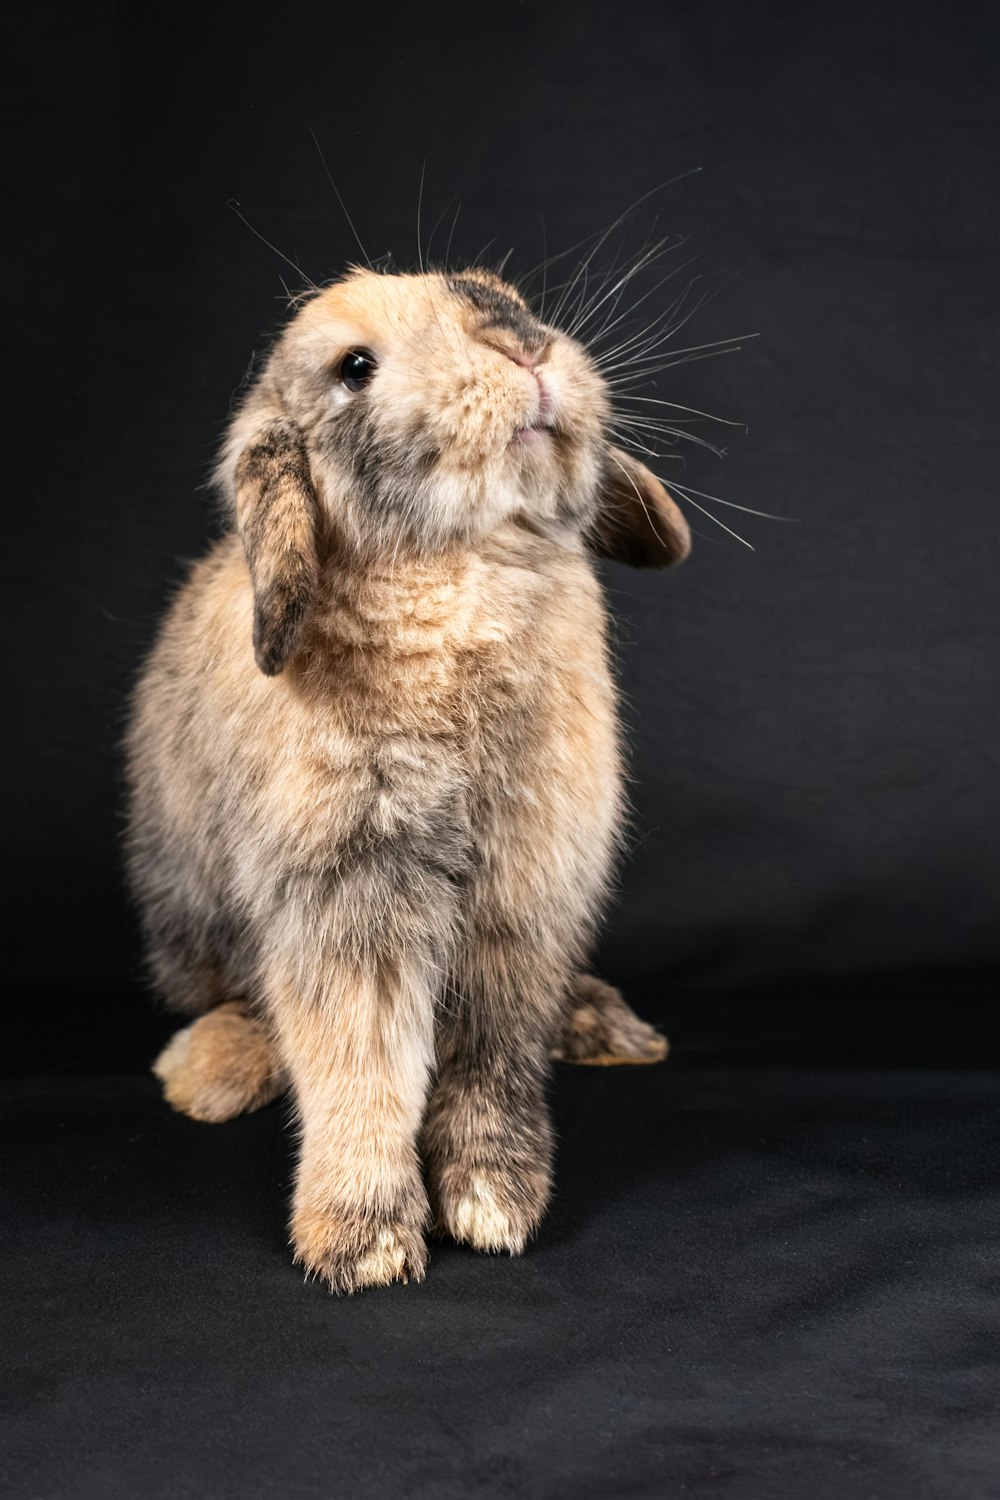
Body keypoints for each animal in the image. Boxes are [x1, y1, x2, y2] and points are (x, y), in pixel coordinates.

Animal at [122, 264, 689, 1296]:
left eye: (512, 297)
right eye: (355, 367)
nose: (523, 345)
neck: (464, 569)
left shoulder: (525, 891)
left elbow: (492, 1055)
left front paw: (496, 1202)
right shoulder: (350, 891)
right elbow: (361, 1059)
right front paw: (364, 1242)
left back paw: (609, 1029)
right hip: (191, 919)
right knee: (237, 1001)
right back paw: (207, 1075)